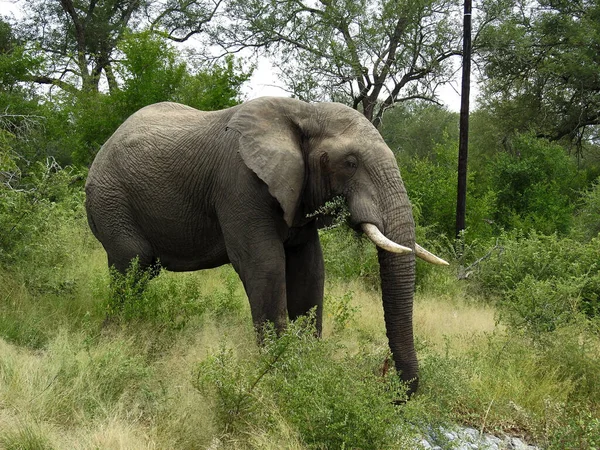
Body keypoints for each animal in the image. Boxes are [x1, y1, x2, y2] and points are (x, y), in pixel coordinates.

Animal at [86, 96, 448, 396]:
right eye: (350, 162)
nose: (391, 387)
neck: (304, 111)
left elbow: (309, 270)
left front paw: (308, 367)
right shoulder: (239, 183)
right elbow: (266, 265)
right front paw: (280, 375)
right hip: (110, 199)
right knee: (131, 264)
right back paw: (120, 335)